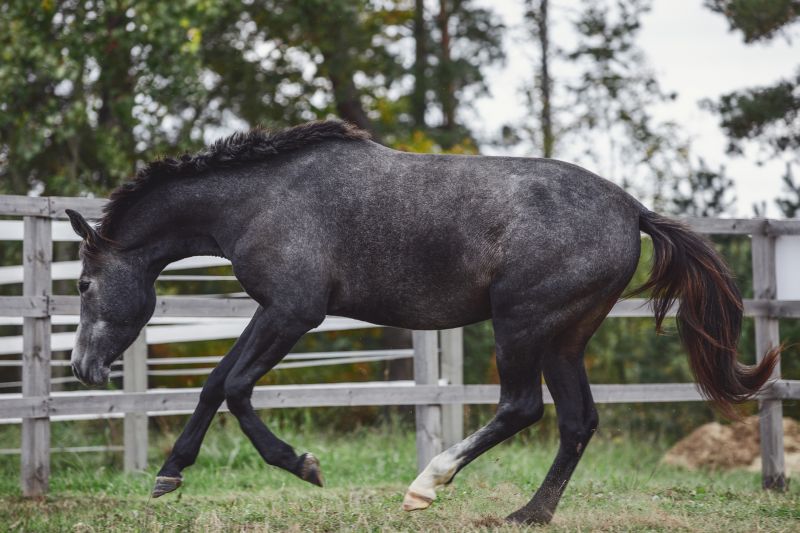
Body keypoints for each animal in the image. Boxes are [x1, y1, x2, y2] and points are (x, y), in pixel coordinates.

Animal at [66, 119, 778, 524]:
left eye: (81, 284)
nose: (81, 368)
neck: (262, 199)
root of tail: (633, 209)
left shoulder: (294, 312)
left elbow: (237, 388)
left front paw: (303, 465)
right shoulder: (273, 310)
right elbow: (215, 382)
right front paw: (169, 475)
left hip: (521, 324)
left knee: (522, 407)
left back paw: (426, 486)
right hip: (565, 338)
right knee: (577, 422)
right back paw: (527, 515)